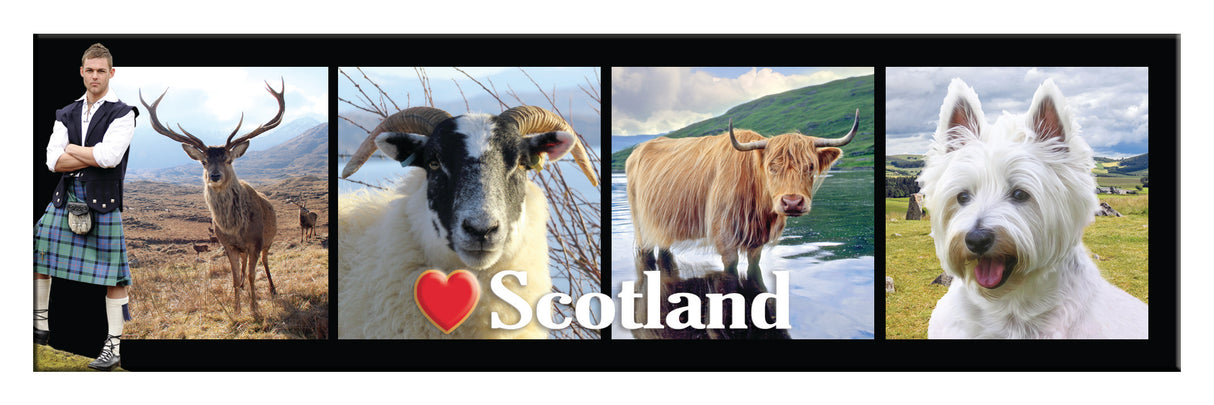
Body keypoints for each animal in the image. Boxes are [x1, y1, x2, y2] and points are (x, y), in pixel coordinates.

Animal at [140, 79, 284, 314]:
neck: (235, 228)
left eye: (228, 159)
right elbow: (234, 277)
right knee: (244, 265)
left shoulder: (256, 240)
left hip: (269, 240)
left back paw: (272, 289)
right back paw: (243, 288)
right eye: (203, 162)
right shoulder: (228, 245)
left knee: (265, 262)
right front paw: (236, 309)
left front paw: (254, 309)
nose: (214, 176)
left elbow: (253, 275)